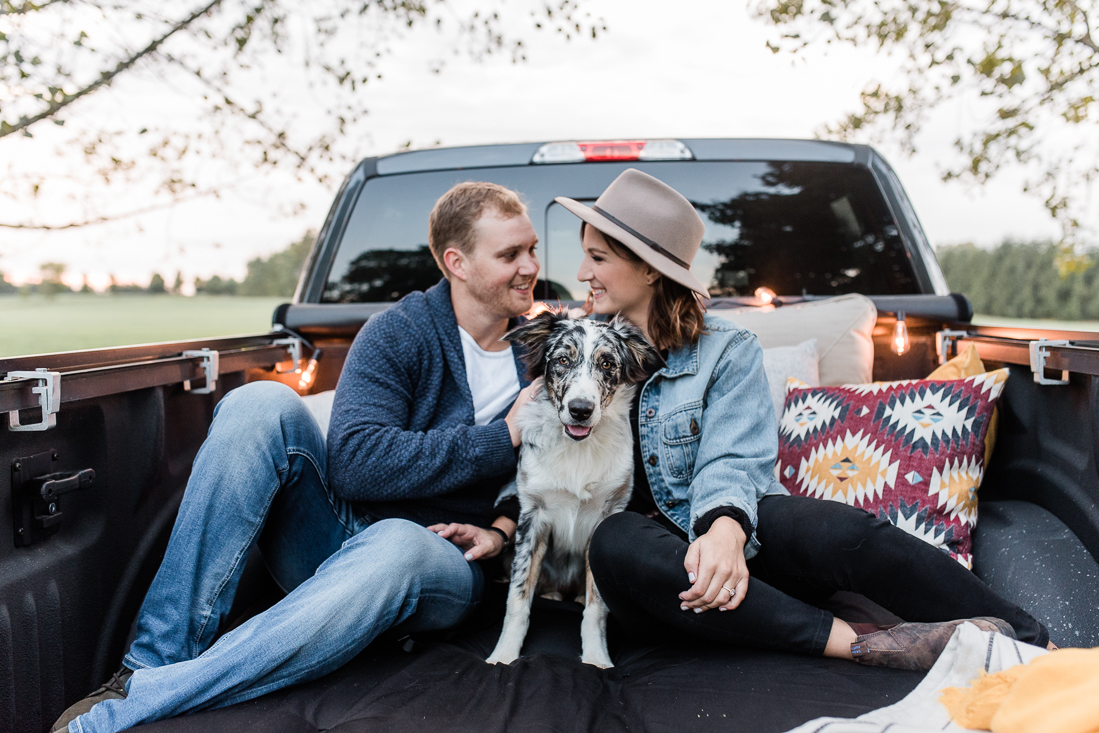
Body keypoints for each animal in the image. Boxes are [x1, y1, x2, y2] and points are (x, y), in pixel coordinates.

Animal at [485, 307, 655, 668]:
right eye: (562, 360)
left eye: (607, 364)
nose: (580, 410)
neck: (578, 448)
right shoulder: (532, 517)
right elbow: (517, 599)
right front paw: (504, 656)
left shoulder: (606, 517)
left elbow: (596, 607)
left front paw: (596, 658)